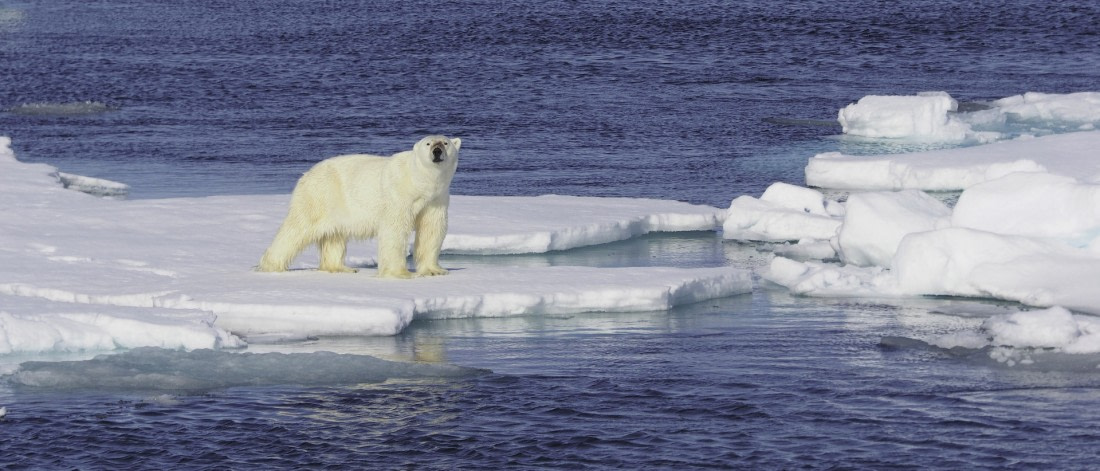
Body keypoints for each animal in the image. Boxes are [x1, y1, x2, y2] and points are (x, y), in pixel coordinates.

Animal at [257, 135, 461, 279]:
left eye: (445, 142)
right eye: (428, 143)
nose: (437, 151)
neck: (419, 182)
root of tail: (306, 174)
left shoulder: (436, 199)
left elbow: (431, 229)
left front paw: (435, 270)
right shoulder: (398, 193)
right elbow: (395, 228)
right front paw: (401, 273)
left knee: (334, 236)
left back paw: (341, 268)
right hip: (319, 195)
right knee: (297, 228)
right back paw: (270, 266)